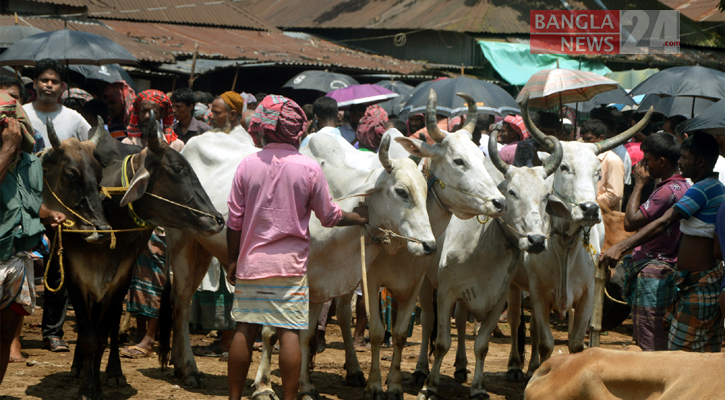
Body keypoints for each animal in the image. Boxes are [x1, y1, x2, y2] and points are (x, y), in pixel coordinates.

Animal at [48, 113, 223, 400]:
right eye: (178, 169)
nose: (218, 220)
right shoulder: (74, 275)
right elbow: (88, 335)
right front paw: (86, 386)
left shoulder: (121, 276)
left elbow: (102, 332)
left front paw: (98, 383)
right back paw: (78, 366)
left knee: (109, 323)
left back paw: (114, 372)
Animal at [160, 123, 438, 392]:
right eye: (401, 191)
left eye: (425, 192)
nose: (429, 246)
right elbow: (271, 332)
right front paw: (263, 385)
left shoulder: (317, 284)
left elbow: (305, 335)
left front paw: (304, 385)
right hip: (182, 243)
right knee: (182, 305)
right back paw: (190, 370)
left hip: (202, 251)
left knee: (180, 301)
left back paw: (178, 364)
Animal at [412, 129, 564, 400]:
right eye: (512, 192)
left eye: (546, 197)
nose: (536, 240)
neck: (484, 244)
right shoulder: (446, 294)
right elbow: (441, 343)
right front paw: (430, 387)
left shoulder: (497, 298)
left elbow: (481, 345)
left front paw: (478, 388)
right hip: (426, 283)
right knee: (428, 320)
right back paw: (420, 371)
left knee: (462, 320)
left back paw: (461, 367)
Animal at [500, 101, 652, 382]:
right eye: (564, 167)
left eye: (598, 172)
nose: (590, 209)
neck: (565, 244)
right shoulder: (537, 292)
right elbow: (546, 343)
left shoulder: (586, 294)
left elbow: (576, 344)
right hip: (515, 284)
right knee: (516, 319)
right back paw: (516, 366)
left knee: (534, 328)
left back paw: (532, 367)